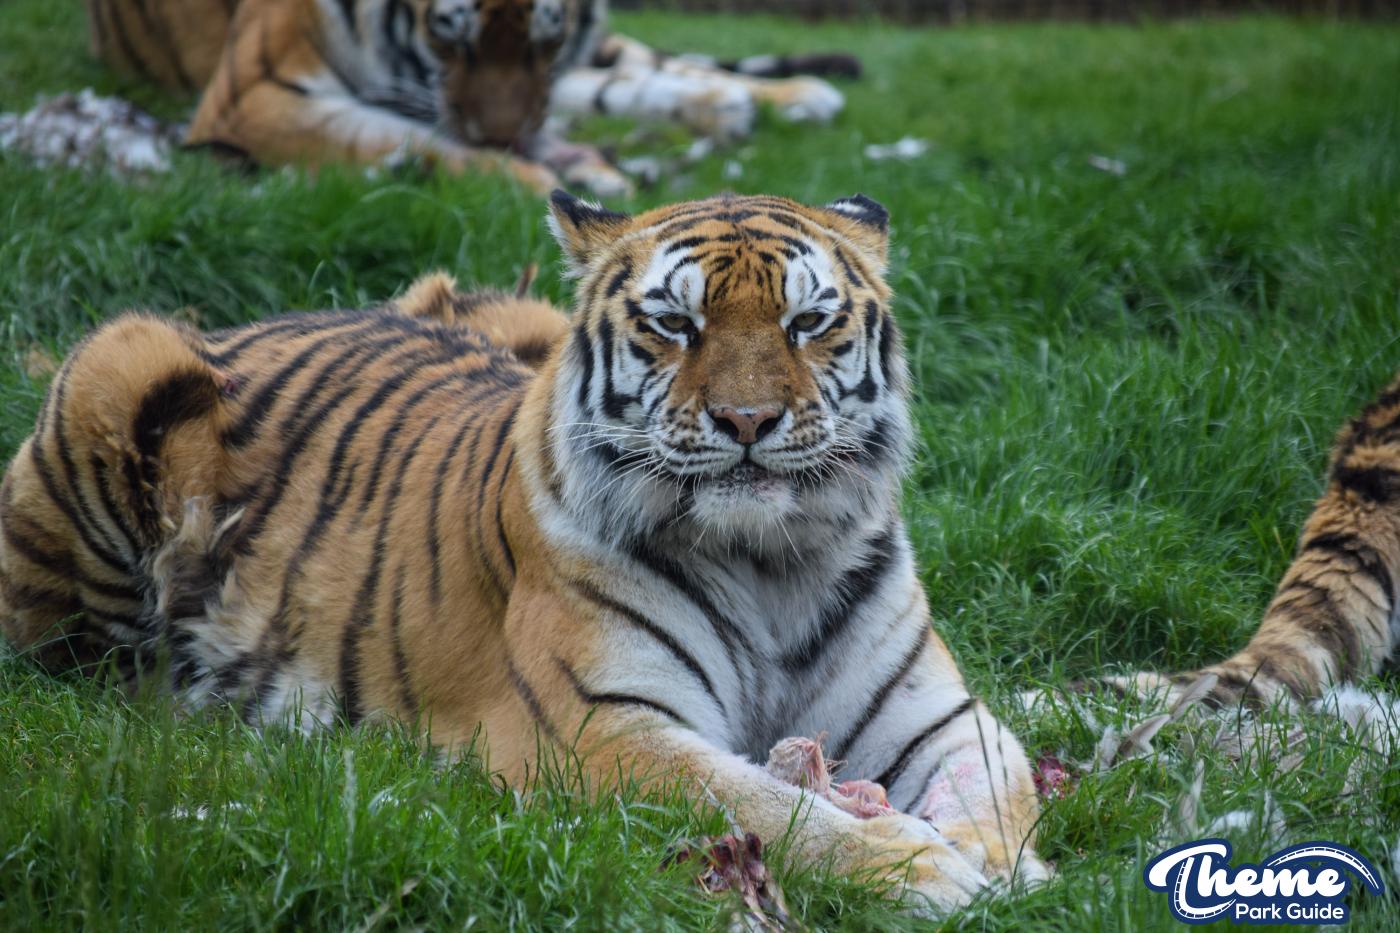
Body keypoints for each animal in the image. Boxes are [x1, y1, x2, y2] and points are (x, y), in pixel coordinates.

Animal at [0, 190, 1047, 914]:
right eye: (675, 324)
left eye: (808, 322)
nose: (747, 420)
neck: (771, 563)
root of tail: (256, 319)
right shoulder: (599, 731)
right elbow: (768, 809)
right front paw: (922, 869)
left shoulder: (935, 716)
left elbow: (1005, 782)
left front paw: (1004, 865)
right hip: (116, 369)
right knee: (78, 664)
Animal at [82, 0, 855, 196]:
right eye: (450, 32)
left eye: (546, 31)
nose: (506, 135)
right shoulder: (252, 95)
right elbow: (406, 136)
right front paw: (547, 178)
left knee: (642, 69)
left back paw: (788, 97)